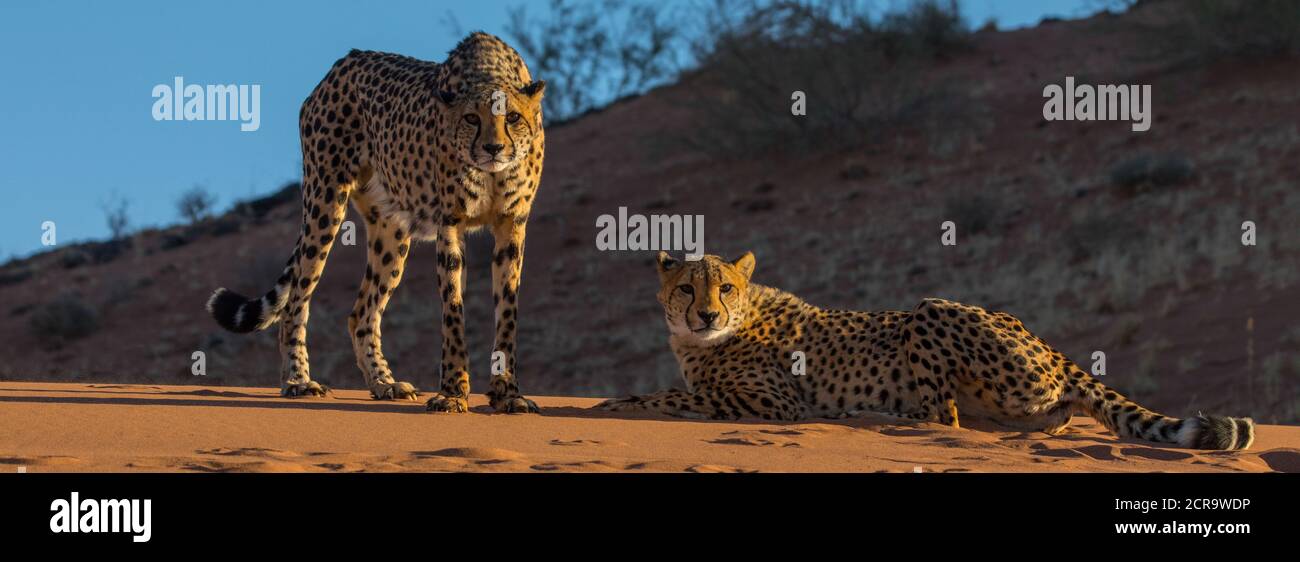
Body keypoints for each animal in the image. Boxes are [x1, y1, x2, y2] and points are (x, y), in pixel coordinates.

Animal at [204, 33, 548, 413]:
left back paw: (384, 383)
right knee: (296, 300)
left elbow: (507, 313)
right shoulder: (450, 225)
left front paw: (508, 393)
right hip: (325, 201)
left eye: (513, 117)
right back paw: (298, 381)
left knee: (362, 314)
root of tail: (344, 62)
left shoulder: (511, 225)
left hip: (391, 231)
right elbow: (453, 313)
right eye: (472, 118)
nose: (493, 148)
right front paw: (453, 392)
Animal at [595, 252, 1253, 450]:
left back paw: (870, 413)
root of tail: (1051, 347)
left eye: (725, 287)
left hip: (929, 310)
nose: (706, 313)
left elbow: (673, 398)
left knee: (945, 416)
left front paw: (616, 405)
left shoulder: (771, 404)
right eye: (687, 287)